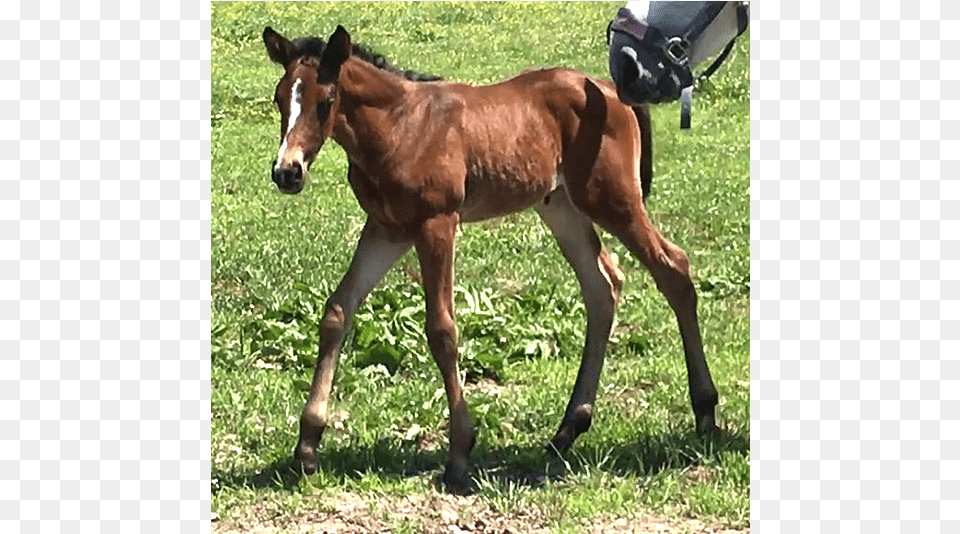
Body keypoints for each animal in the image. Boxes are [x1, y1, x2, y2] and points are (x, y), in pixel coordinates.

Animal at [264, 25, 720, 492]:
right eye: (280, 99)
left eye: (325, 102)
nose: (287, 172)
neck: (399, 126)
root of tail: (613, 90)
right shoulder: (386, 229)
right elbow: (338, 311)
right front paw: (307, 446)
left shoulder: (437, 223)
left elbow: (441, 330)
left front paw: (460, 454)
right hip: (562, 207)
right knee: (602, 286)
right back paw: (568, 429)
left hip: (614, 200)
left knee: (674, 268)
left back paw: (705, 413)